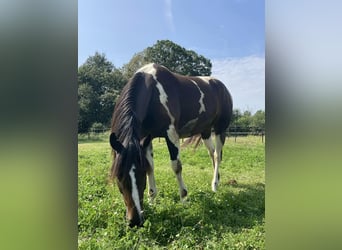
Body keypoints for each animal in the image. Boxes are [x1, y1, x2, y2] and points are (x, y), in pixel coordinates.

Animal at [109, 62, 232, 227]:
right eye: (119, 176)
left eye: (140, 175)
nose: (134, 221)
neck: (152, 92)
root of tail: (222, 87)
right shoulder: (145, 139)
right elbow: (151, 166)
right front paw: (152, 199)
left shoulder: (171, 134)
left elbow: (176, 166)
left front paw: (184, 199)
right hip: (205, 132)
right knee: (212, 154)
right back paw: (216, 179)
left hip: (220, 129)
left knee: (218, 156)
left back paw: (215, 185)